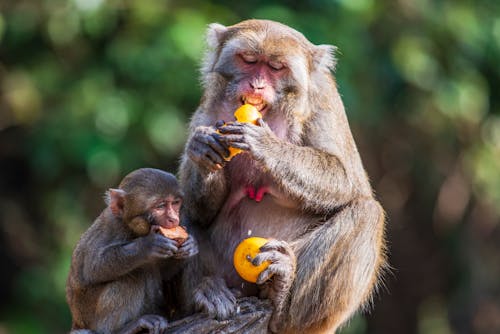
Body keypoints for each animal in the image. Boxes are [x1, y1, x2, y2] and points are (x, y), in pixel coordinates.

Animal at [66, 168, 197, 334]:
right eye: (160, 206)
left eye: (175, 203)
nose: (174, 219)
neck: (134, 230)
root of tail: (77, 321)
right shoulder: (113, 226)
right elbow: (93, 267)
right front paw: (148, 245)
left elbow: (164, 273)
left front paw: (190, 246)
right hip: (92, 317)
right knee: (133, 276)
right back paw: (125, 328)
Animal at [180, 19, 386, 332]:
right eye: (249, 60)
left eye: (276, 67)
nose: (257, 84)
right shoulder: (209, 106)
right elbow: (200, 211)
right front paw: (203, 149)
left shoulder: (323, 97)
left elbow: (348, 180)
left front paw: (266, 145)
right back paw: (207, 293)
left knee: (367, 213)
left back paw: (282, 299)